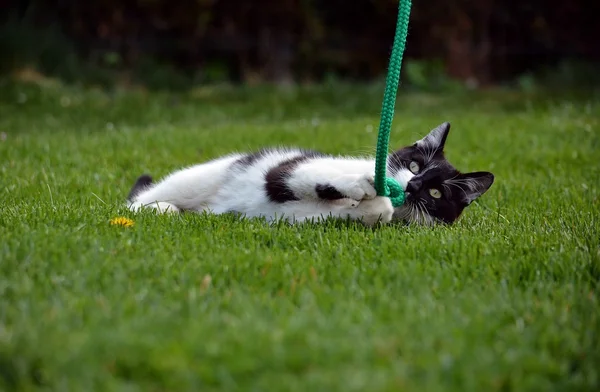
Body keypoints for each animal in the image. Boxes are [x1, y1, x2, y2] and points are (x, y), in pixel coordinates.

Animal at [126, 122, 492, 227]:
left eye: (436, 193)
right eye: (415, 165)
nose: (413, 185)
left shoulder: (298, 215)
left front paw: (375, 207)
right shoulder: (288, 168)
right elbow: (296, 176)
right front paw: (361, 184)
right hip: (197, 179)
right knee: (140, 199)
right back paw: (158, 208)